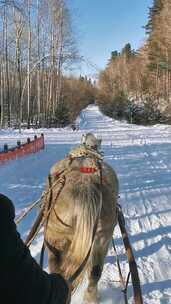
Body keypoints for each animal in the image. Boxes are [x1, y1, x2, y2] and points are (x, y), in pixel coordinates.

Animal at [43, 140, 118, 302]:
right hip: (102, 237)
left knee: (58, 272)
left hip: (54, 238)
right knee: (95, 272)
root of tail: (86, 187)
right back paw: (91, 299)